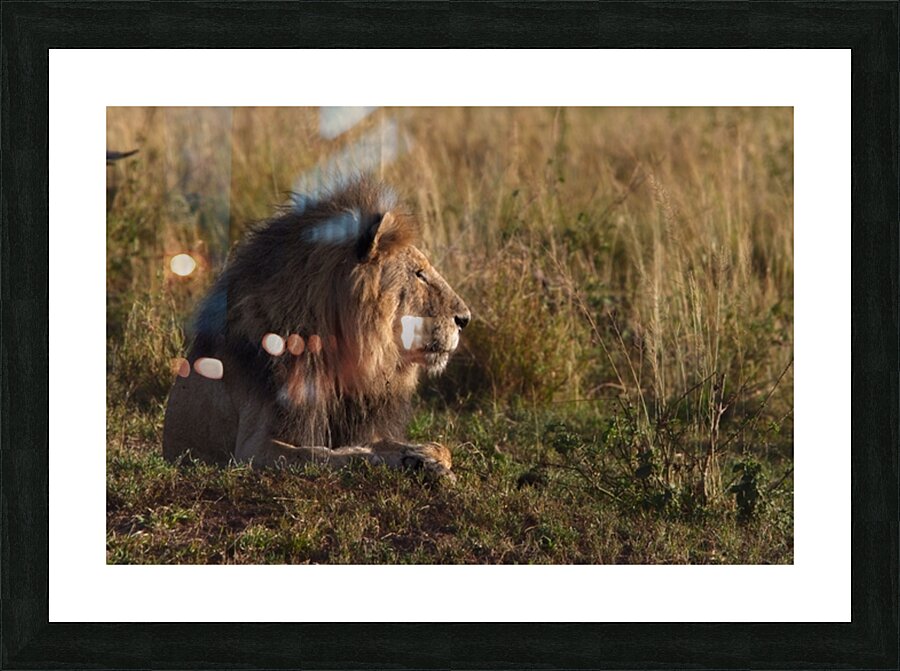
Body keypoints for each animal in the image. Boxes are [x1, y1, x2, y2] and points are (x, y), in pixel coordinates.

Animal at [162, 177, 470, 480]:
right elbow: (331, 454)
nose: (465, 319)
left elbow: (440, 447)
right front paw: (412, 462)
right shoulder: (253, 449)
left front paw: (424, 456)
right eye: (419, 274)